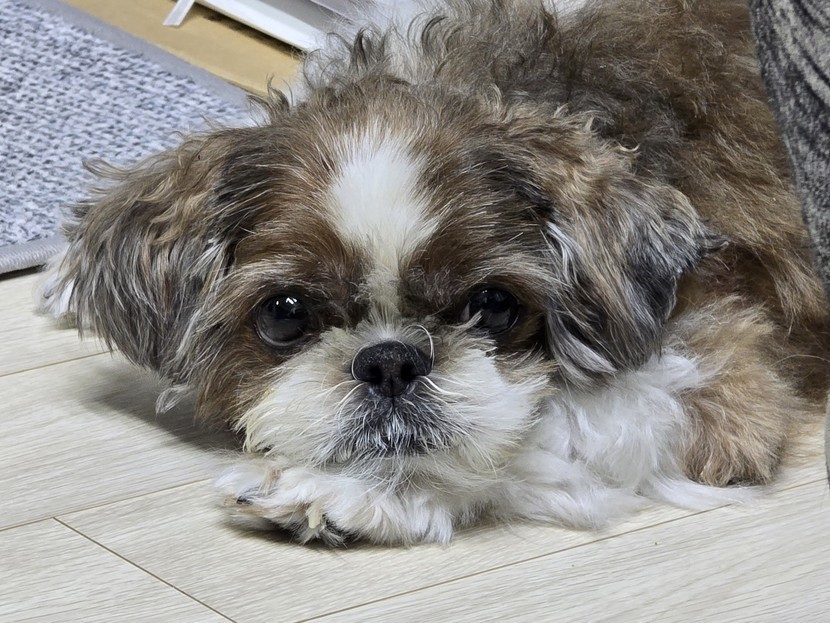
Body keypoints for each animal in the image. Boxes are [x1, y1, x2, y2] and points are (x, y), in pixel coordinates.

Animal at [42, 0, 829, 545]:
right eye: (284, 313)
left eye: (495, 305)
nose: (389, 361)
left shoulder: (719, 384)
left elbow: (532, 430)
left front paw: (347, 490)